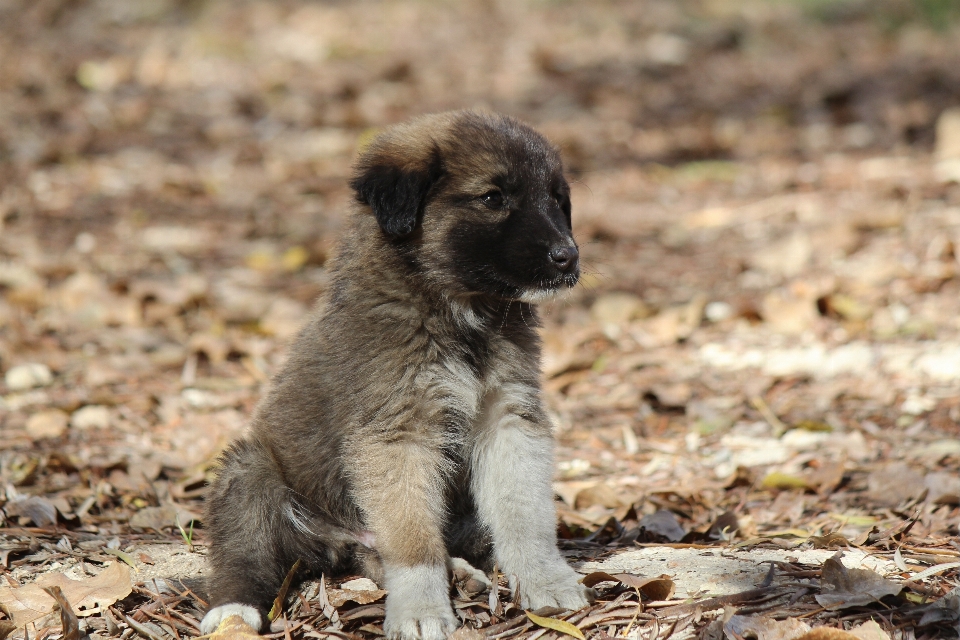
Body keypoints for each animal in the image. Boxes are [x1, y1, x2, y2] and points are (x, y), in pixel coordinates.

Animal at [202, 111, 588, 640]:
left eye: (556, 198)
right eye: (493, 198)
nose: (567, 256)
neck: (460, 311)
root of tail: (340, 538)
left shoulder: (508, 418)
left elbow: (524, 512)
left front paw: (545, 578)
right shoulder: (398, 432)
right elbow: (411, 542)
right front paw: (421, 608)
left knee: (383, 552)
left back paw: (460, 573)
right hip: (251, 472)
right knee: (249, 551)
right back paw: (233, 608)